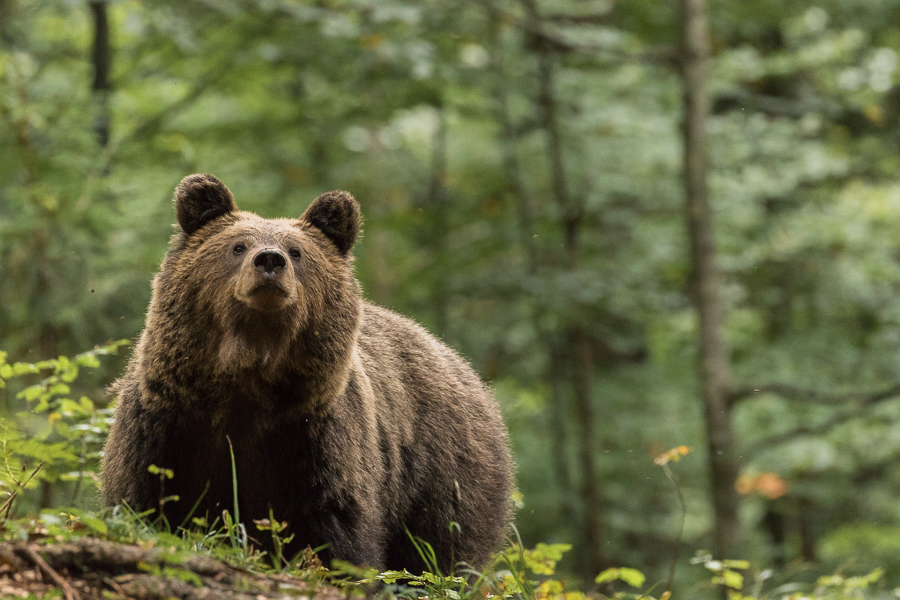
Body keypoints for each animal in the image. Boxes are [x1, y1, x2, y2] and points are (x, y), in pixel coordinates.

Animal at [101, 173, 510, 572]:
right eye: (238, 246)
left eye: (296, 252)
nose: (269, 260)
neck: (247, 376)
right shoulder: (167, 423)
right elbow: (142, 499)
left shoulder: (316, 440)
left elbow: (337, 531)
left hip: (443, 471)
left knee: (438, 553)